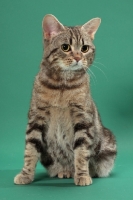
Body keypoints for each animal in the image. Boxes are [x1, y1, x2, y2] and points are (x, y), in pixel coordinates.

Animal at [14, 14, 117, 186]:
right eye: (65, 47)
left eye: (84, 48)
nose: (78, 57)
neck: (62, 85)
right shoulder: (36, 118)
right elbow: (30, 150)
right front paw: (26, 174)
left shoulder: (83, 119)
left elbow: (81, 152)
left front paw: (82, 175)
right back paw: (66, 171)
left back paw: (85, 172)